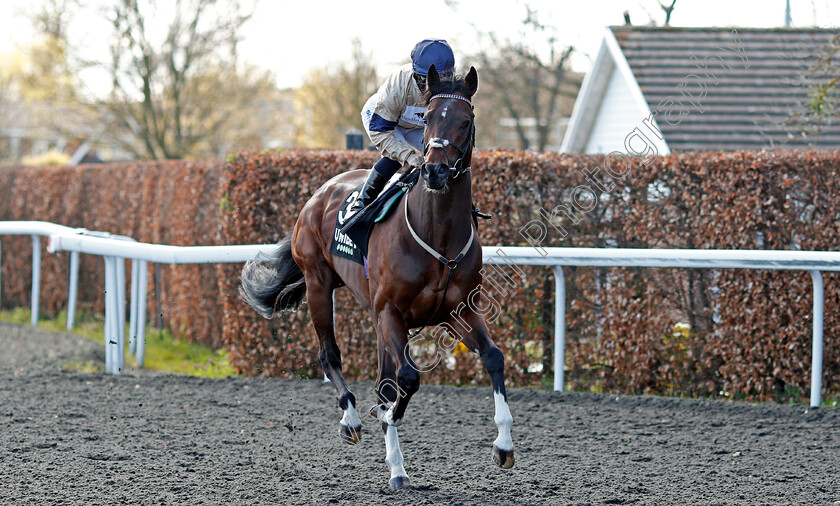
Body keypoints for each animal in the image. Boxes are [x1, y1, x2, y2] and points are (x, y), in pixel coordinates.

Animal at [240, 65, 516, 488]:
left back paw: (396, 465)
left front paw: (503, 445)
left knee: (383, 377)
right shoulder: (391, 312)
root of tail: (317, 194)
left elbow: (494, 358)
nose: (434, 170)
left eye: (466, 121)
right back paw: (353, 421)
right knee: (330, 355)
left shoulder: (460, 312)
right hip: (320, 284)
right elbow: (407, 379)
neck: (437, 234)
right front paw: (383, 417)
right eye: (428, 119)